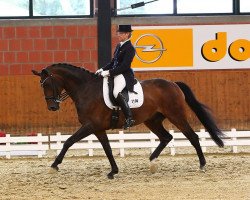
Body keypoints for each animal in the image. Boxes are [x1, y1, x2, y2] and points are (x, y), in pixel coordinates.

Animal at [31, 62, 225, 178]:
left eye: (47, 84)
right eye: (41, 85)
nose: (52, 107)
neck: (86, 89)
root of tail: (173, 84)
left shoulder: (90, 126)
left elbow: (68, 142)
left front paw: (54, 165)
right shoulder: (98, 128)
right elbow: (108, 149)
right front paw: (113, 171)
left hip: (176, 116)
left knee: (192, 137)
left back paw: (202, 165)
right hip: (152, 120)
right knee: (166, 137)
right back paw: (152, 161)